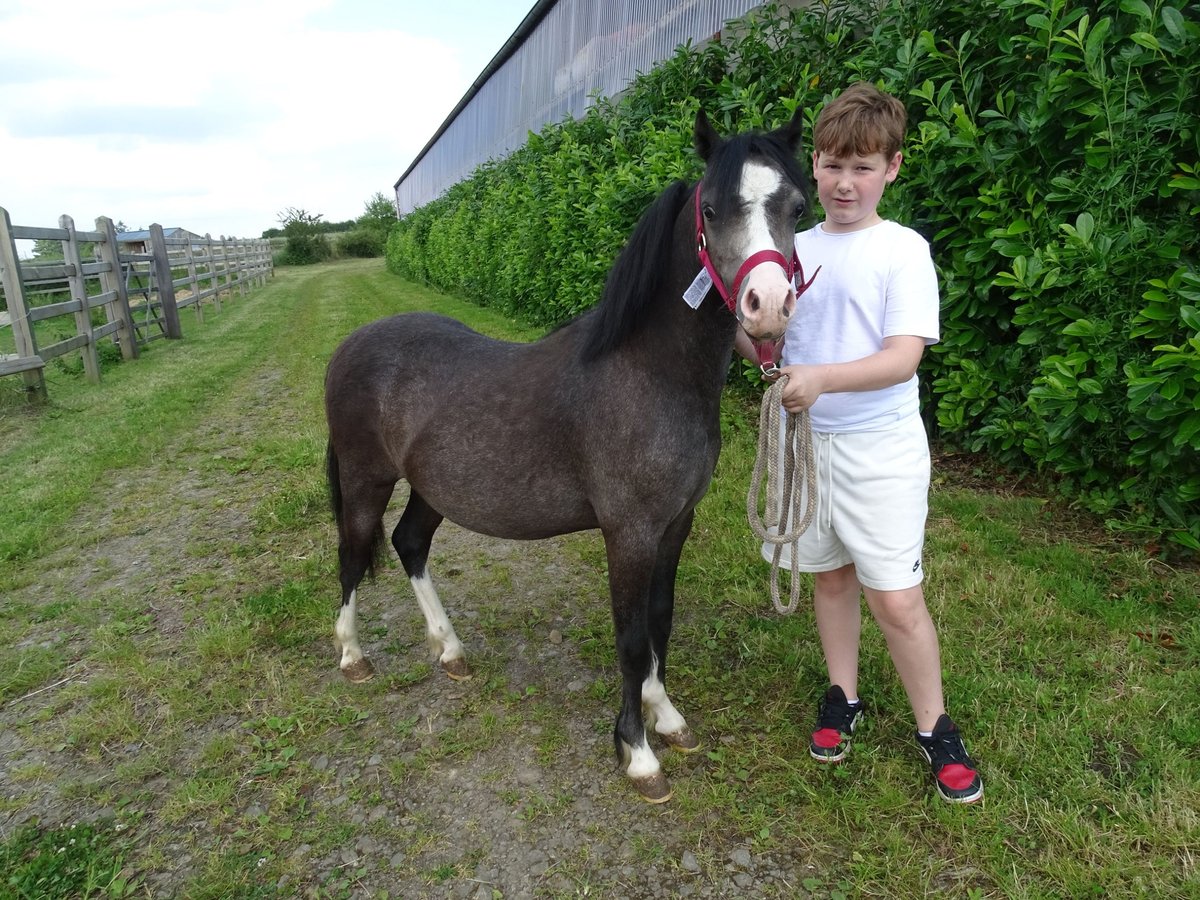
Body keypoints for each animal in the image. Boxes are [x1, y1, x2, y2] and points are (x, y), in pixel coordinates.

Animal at [328, 111, 811, 801]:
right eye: (712, 210)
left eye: (797, 206)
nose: (768, 307)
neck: (650, 371)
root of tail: (350, 346)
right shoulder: (629, 532)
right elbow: (631, 638)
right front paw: (638, 753)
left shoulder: (674, 525)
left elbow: (659, 622)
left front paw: (666, 717)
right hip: (365, 478)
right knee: (351, 554)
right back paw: (353, 656)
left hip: (433, 488)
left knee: (409, 543)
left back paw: (450, 650)